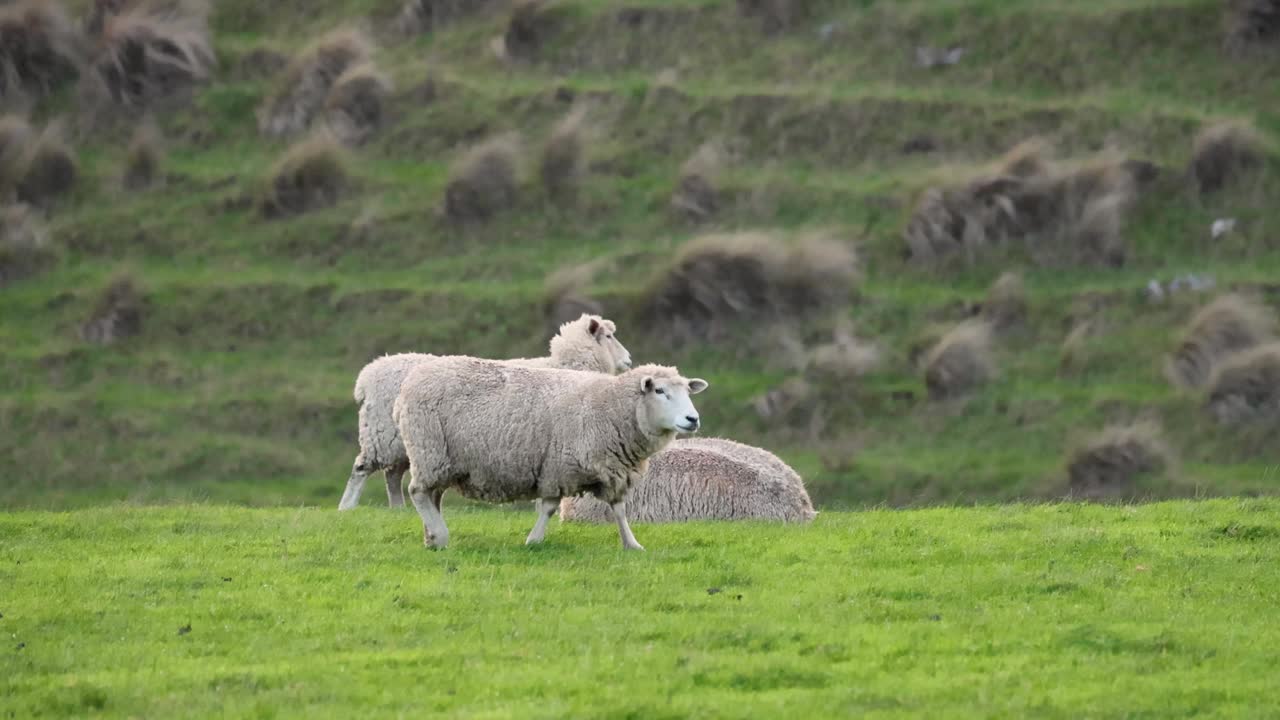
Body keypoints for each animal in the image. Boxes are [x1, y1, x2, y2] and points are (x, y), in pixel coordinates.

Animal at [337, 313, 632, 509]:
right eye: (609, 336)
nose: (629, 360)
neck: (566, 365)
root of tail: (369, 374)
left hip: (405, 443)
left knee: (392, 475)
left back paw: (398, 511)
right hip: (385, 435)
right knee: (362, 468)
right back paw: (347, 508)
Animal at [391, 356, 706, 548]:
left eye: (688, 392)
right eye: (660, 391)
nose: (693, 419)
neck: (609, 406)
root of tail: (409, 384)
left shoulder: (613, 471)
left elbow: (618, 510)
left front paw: (632, 544)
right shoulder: (557, 467)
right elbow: (549, 507)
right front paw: (534, 540)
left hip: (443, 460)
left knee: (433, 496)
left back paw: (431, 538)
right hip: (428, 449)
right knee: (418, 492)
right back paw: (441, 535)